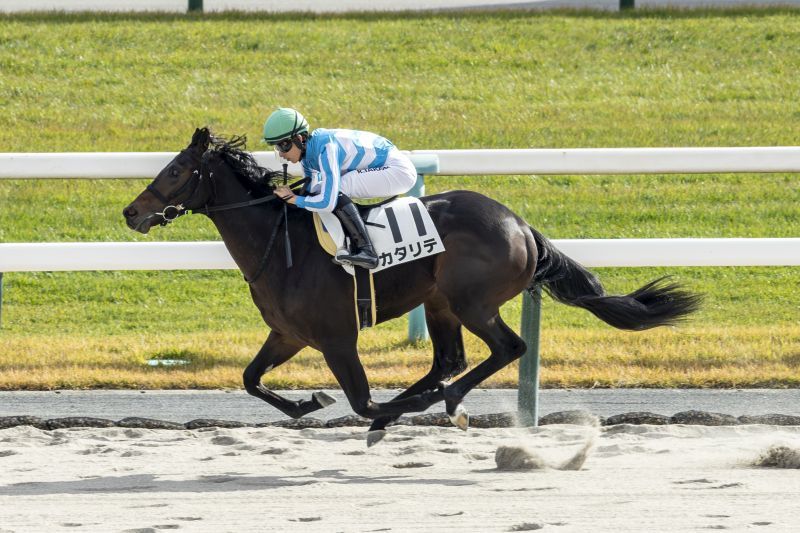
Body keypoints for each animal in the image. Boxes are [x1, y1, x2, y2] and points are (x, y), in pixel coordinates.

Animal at [123, 128, 700, 443]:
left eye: (175, 170)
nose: (131, 212)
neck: (279, 244)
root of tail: (519, 224)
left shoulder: (337, 338)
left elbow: (362, 401)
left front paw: (373, 410)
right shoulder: (288, 334)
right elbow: (250, 379)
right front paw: (309, 403)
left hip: (473, 301)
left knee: (507, 348)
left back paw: (446, 402)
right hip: (441, 302)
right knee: (448, 360)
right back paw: (430, 399)